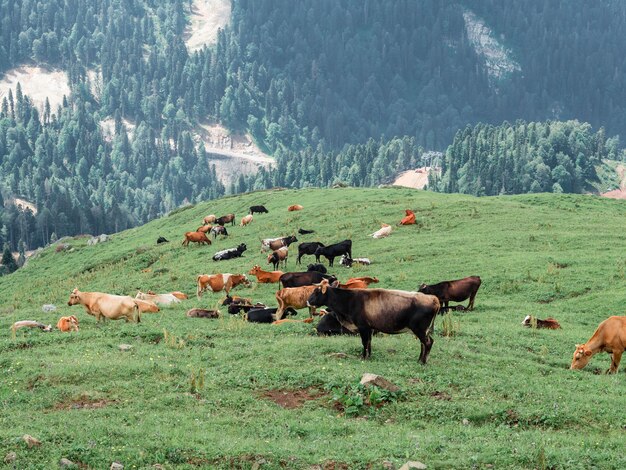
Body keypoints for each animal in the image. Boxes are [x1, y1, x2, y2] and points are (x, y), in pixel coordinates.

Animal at [308, 280, 438, 362]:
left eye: (316, 291)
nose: (308, 301)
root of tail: (432, 298)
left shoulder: (363, 327)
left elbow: (365, 342)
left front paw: (364, 358)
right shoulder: (369, 328)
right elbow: (369, 342)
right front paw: (369, 357)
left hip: (419, 329)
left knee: (427, 342)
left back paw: (423, 362)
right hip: (422, 330)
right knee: (424, 343)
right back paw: (419, 360)